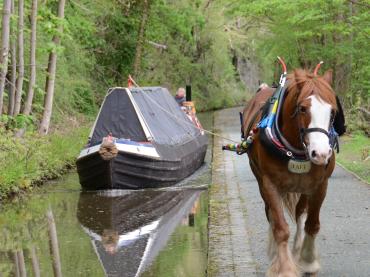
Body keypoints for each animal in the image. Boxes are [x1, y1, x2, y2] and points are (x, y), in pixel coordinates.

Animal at [243, 63, 344, 276]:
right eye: (302, 108)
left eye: (332, 111)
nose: (321, 154)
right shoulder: (270, 184)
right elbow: (280, 228)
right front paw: (284, 268)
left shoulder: (320, 185)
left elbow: (312, 224)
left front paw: (307, 261)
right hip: (262, 181)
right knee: (271, 214)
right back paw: (276, 254)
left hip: (304, 187)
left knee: (300, 213)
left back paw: (297, 250)